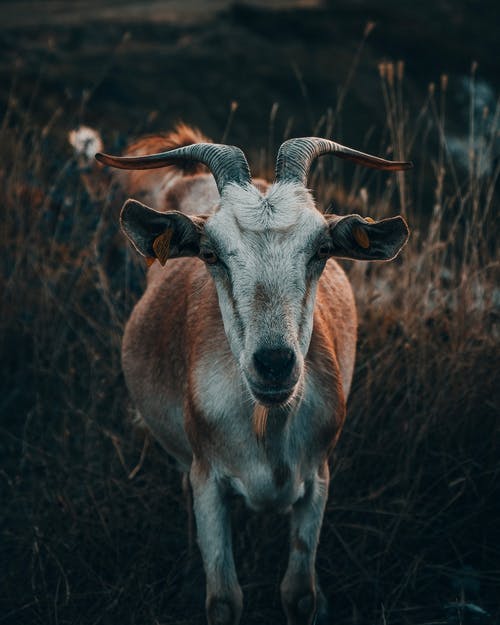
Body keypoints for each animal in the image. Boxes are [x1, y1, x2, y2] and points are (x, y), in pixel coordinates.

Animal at [96, 127, 410, 624]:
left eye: (322, 249)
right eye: (209, 253)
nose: (275, 362)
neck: (268, 427)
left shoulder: (317, 480)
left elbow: (300, 593)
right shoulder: (208, 481)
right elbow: (224, 599)